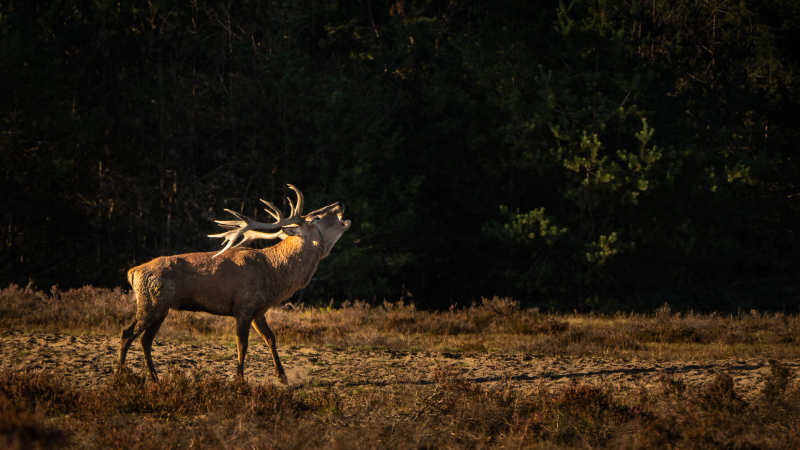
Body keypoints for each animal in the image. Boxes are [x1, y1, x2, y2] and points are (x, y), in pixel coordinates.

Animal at [117, 185, 350, 383]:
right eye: (316, 217)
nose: (340, 203)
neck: (275, 274)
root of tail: (133, 271)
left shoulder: (258, 310)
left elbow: (271, 338)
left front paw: (282, 377)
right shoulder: (244, 306)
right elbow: (242, 344)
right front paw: (240, 381)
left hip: (161, 307)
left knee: (145, 340)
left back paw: (155, 379)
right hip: (152, 302)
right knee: (127, 333)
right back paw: (120, 375)